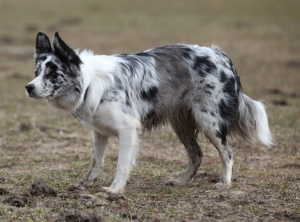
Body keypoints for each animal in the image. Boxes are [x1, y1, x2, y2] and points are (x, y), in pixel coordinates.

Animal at [25, 32, 274, 193]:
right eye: (37, 72)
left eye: (52, 73)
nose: (28, 87)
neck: (88, 83)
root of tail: (220, 54)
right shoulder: (100, 132)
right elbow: (96, 161)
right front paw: (86, 184)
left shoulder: (128, 129)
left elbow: (122, 164)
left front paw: (115, 190)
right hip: (181, 123)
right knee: (196, 155)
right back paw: (181, 182)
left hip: (208, 120)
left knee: (227, 153)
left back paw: (225, 183)